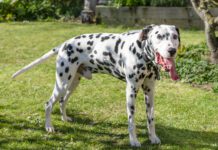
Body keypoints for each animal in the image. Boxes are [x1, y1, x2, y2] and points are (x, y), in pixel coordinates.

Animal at [13, 24, 181, 146]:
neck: (142, 53)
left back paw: (65, 118)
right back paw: (49, 127)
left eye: (174, 36)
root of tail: (64, 44)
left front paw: (153, 138)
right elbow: (131, 121)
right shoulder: (131, 90)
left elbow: (151, 119)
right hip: (62, 83)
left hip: (72, 83)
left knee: (62, 101)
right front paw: (133, 141)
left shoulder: (150, 91)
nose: (172, 50)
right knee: (49, 103)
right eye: (159, 36)